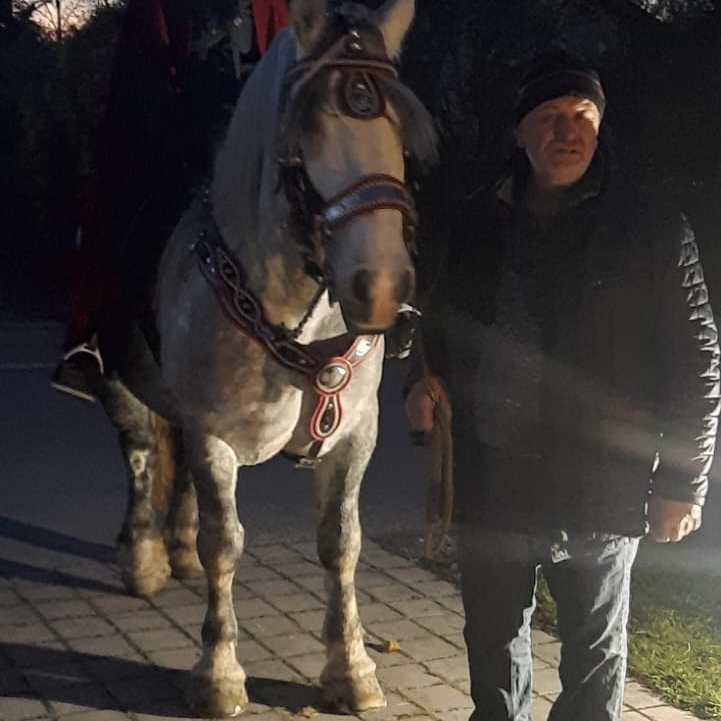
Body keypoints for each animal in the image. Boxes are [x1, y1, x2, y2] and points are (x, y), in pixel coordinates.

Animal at [96, 0, 437, 716]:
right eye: (306, 135)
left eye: (400, 137)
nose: (381, 290)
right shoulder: (214, 437)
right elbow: (225, 544)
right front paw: (219, 673)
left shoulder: (354, 438)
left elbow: (341, 543)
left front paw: (351, 668)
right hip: (121, 379)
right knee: (140, 452)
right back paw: (144, 557)